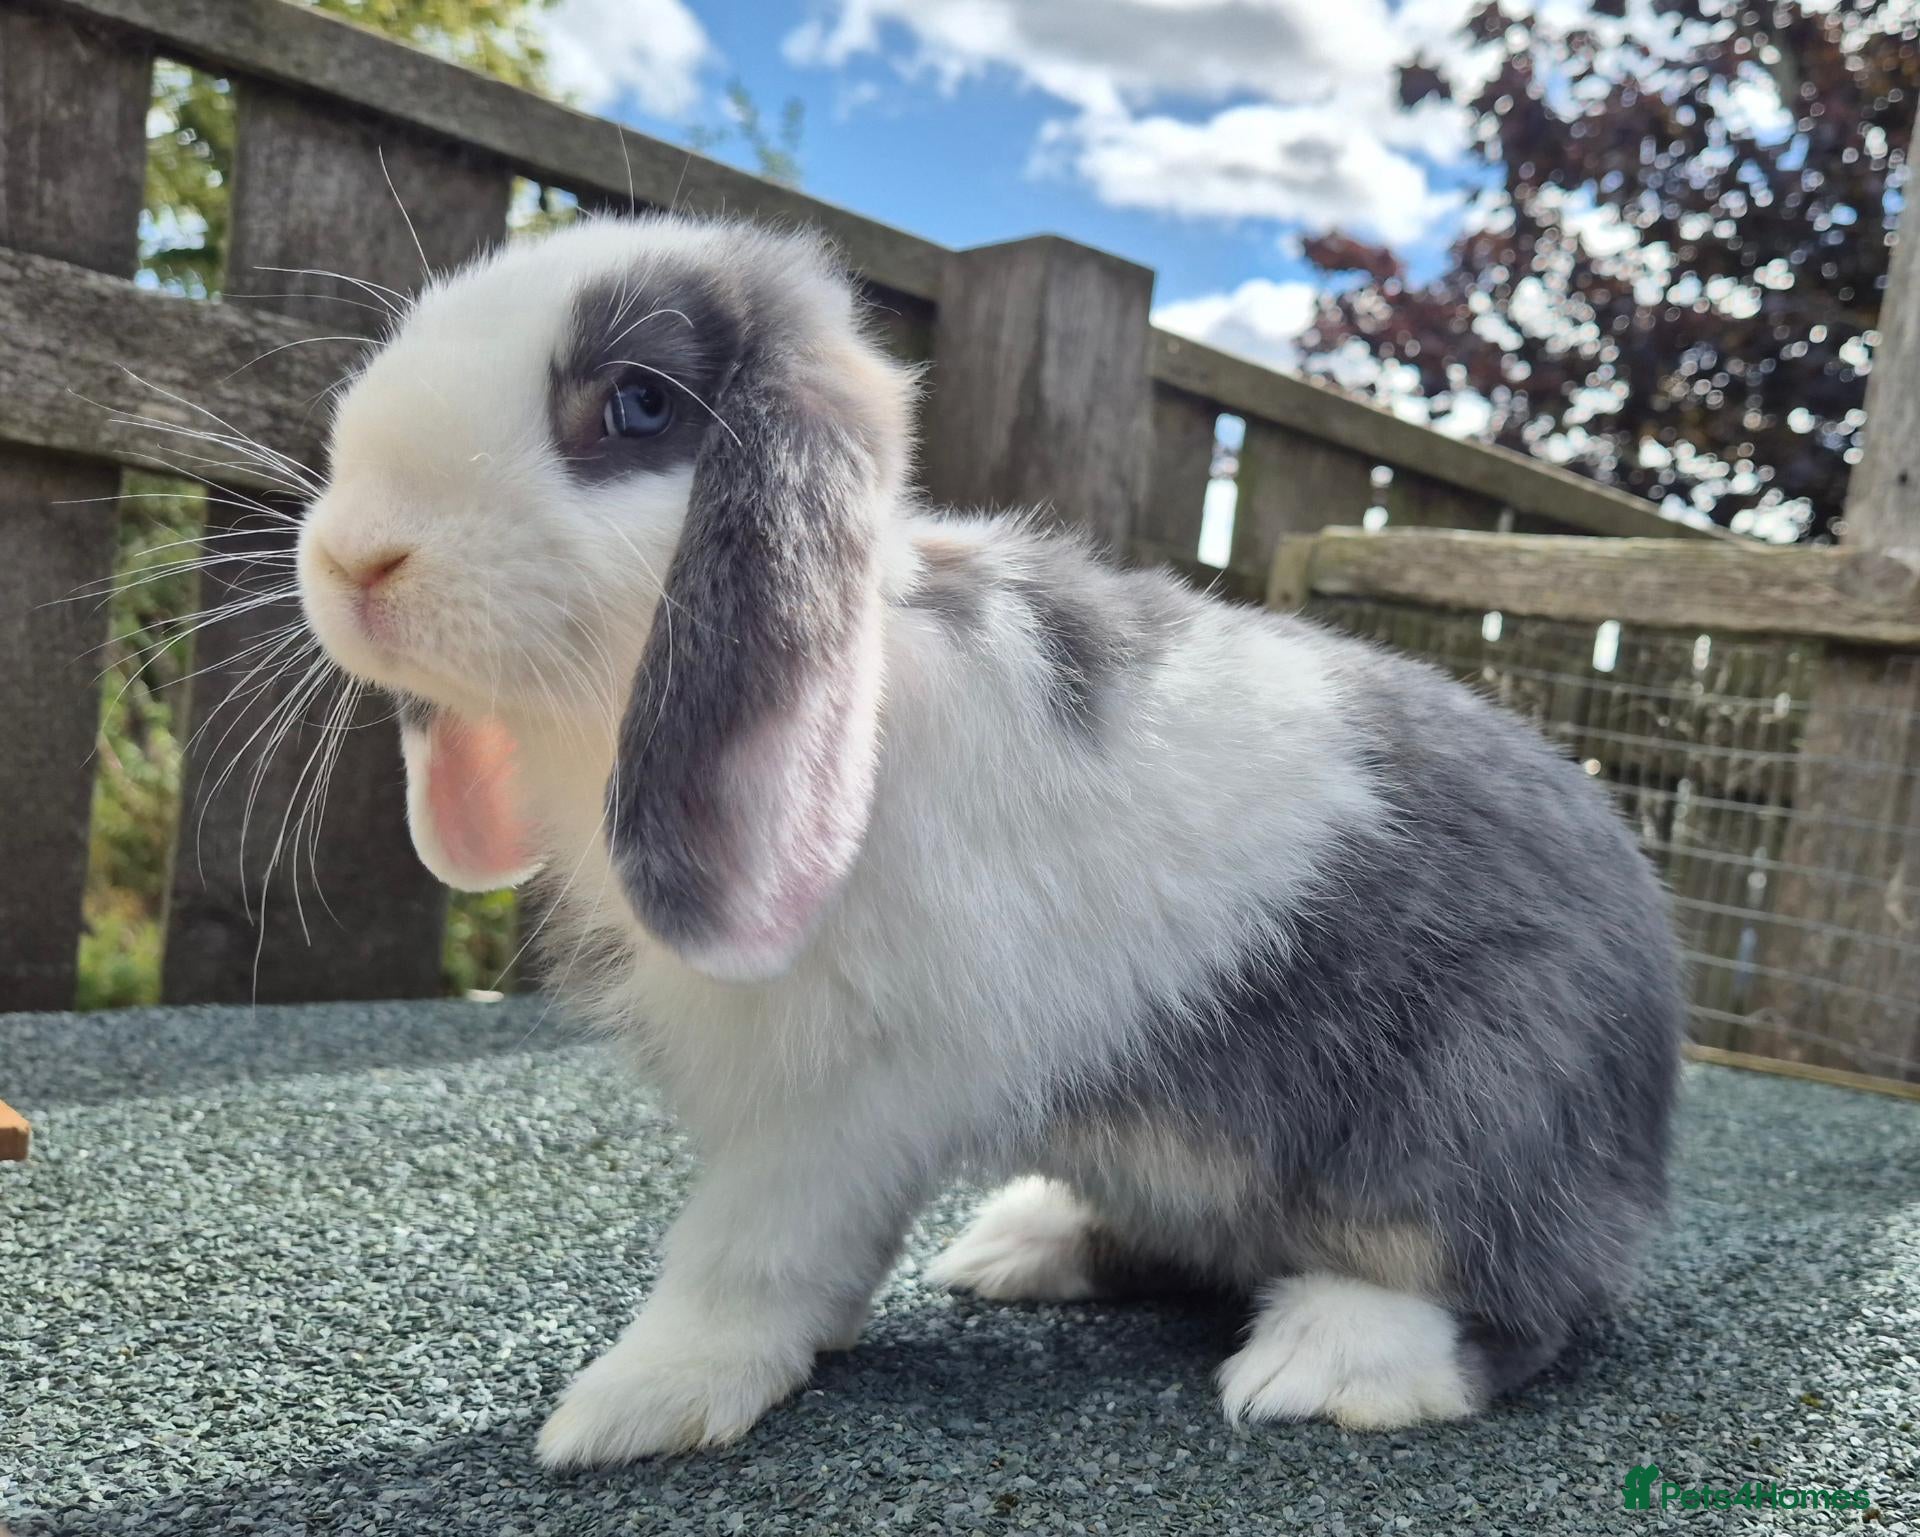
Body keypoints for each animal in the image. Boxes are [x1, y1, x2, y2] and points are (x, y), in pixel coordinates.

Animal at [294, 213, 1683, 1469]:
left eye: (637, 406)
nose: (354, 559)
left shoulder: (836, 1100)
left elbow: (749, 1252)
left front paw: (636, 1404)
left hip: (1480, 1107)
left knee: (1507, 1292)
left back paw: (1327, 1361)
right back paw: (1024, 1244)